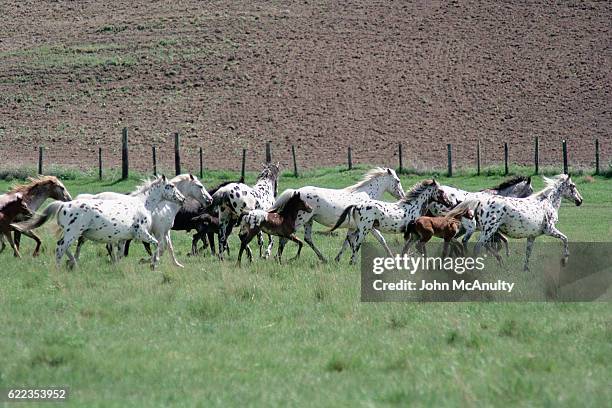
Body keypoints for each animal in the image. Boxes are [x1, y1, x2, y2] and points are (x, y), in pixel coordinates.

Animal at [11, 175, 184, 268]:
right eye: (170, 186)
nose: (182, 199)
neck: (141, 204)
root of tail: (63, 205)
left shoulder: (123, 238)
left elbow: (120, 254)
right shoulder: (141, 233)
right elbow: (157, 244)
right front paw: (153, 264)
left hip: (74, 234)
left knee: (65, 248)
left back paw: (73, 263)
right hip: (72, 233)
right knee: (60, 247)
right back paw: (60, 268)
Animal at [272, 167, 406, 262]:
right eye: (397, 181)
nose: (403, 196)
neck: (367, 196)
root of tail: (296, 191)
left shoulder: (353, 227)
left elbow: (347, 243)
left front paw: (338, 259)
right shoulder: (368, 226)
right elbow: (380, 239)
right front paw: (392, 258)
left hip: (308, 220)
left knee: (307, 238)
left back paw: (323, 258)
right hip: (301, 220)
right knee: (285, 237)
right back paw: (278, 259)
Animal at [450, 173, 584, 270]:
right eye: (572, 186)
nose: (580, 200)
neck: (547, 203)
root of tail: (478, 201)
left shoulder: (532, 236)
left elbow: (528, 252)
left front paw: (526, 269)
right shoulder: (550, 230)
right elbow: (565, 239)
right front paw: (564, 260)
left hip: (485, 231)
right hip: (488, 230)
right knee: (477, 246)